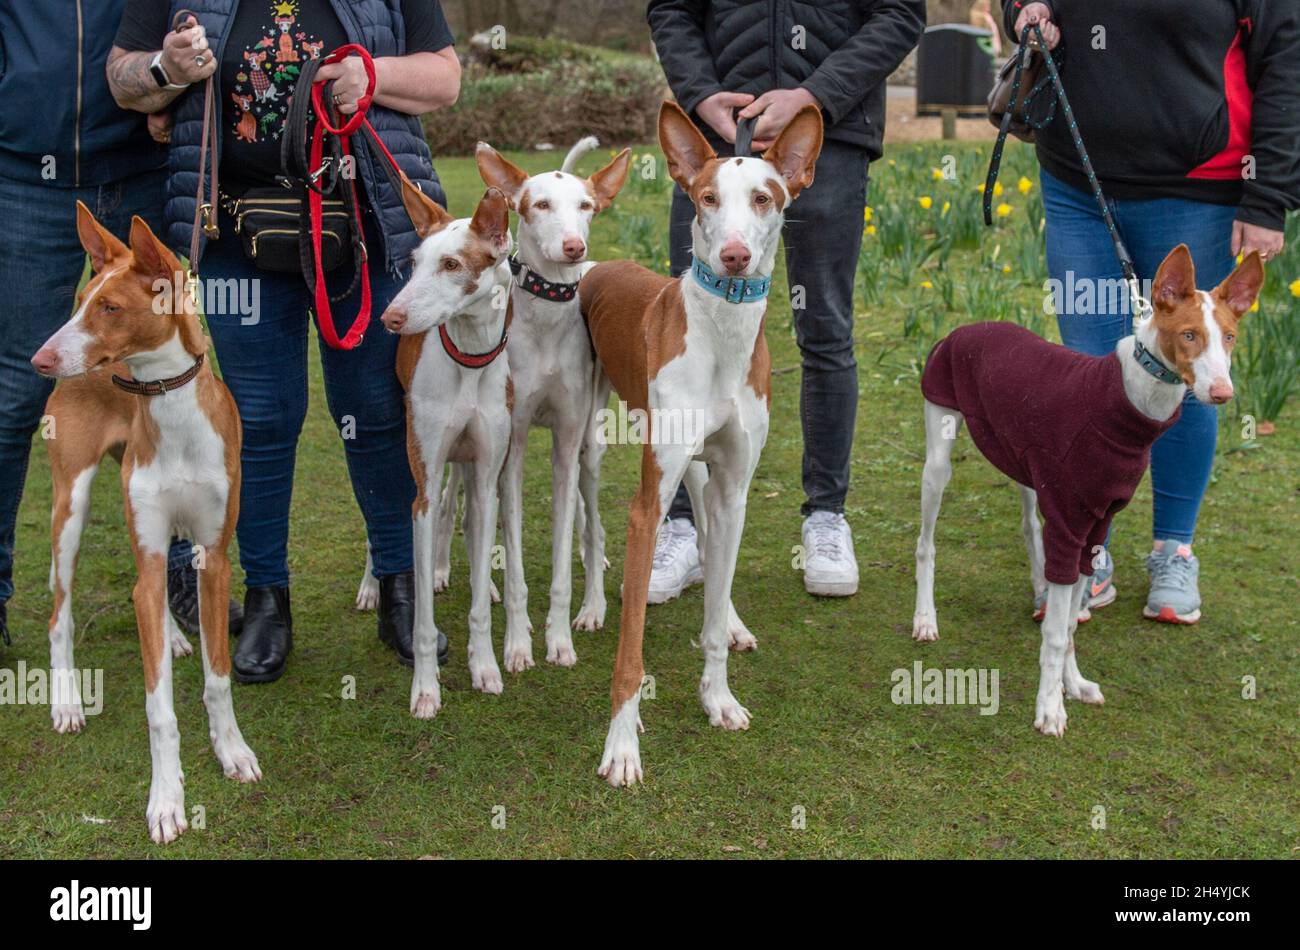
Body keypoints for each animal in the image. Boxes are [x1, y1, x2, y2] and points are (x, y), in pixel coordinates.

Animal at [29, 204, 258, 842]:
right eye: (83, 301)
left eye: (110, 308)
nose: (40, 360)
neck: (163, 401)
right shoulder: (148, 552)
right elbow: (160, 710)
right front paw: (166, 799)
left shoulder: (213, 558)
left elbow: (218, 678)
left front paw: (232, 751)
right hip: (70, 508)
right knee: (60, 614)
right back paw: (66, 701)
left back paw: (174, 637)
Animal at [377, 181, 512, 717]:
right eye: (413, 262)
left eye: (452, 264)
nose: (390, 318)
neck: (469, 360)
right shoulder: (423, 487)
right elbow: (423, 618)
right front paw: (426, 688)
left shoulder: (487, 475)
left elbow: (477, 599)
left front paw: (485, 666)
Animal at [470, 137, 631, 670]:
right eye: (539, 205)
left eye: (585, 207)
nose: (573, 247)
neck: (546, 315)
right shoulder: (511, 449)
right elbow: (516, 562)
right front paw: (518, 642)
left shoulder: (566, 441)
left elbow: (563, 561)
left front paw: (559, 637)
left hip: (590, 446)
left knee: (592, 522)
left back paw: (594, 600)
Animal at [579, 102, 821, 790]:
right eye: (707, 198)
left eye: (765, 198)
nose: (736, 256)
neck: (722, 335)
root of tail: (596, 262)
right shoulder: (646, 506)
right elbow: (630, 651)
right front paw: (622, 745)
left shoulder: (735, 489)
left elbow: (713, 610)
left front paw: (718, 697)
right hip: (587, 438)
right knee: (586, 516)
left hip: (700, 472)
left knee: (711, 537)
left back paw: (732, 619)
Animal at [915, 243, 1258, 738]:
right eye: (1190, 335)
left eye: (1229, 337)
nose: (1221, 392)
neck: (1130, 399)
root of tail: (966, 327)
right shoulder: (1071, 520)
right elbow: (1058, 634)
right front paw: (1049, 709)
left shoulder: (1092, 530)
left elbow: (1071, 626)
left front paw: (1072, 685)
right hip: (939, 458)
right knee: (926, 544)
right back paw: (925, 618)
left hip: (1024, 468)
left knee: (1029, 529)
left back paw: (1038, 586)